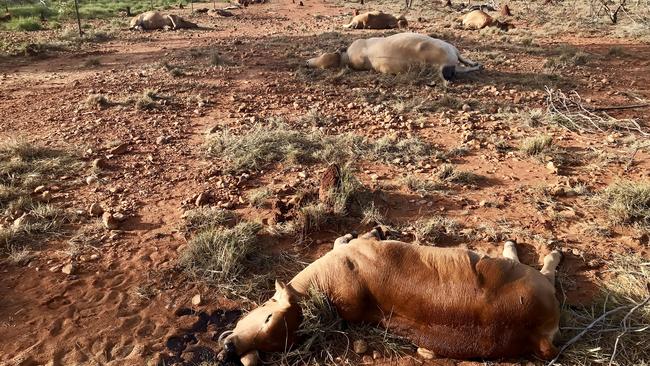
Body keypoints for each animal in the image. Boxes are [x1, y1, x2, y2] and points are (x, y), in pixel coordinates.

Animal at [219, 227, 560, 364]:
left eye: (267, 315)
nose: (230, 348)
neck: (325, 289)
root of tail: (537, 335)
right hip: (526, 275)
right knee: (544, 268)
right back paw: (536, 250)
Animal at [306, 32, 484, 82]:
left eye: (323, 55)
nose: (307, 62)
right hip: (451, 55)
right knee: (463, 66)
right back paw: (476, 65)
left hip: (451, 49)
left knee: (463, 62)